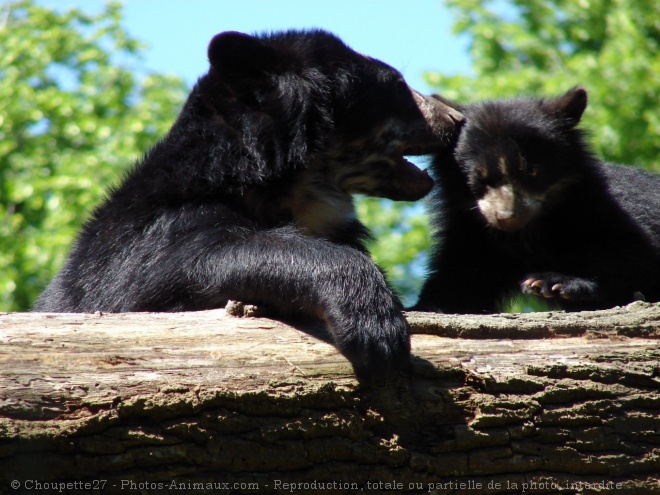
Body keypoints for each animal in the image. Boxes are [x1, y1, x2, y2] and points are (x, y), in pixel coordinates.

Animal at [416, 88, 660, 314]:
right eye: (479, 178)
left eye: (531, 171)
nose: (507, 217)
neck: (527, 232)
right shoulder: (472, 229)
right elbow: (462, 275)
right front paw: (425, 306)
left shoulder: (597, 208)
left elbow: (633, 254)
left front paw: (552, 282)